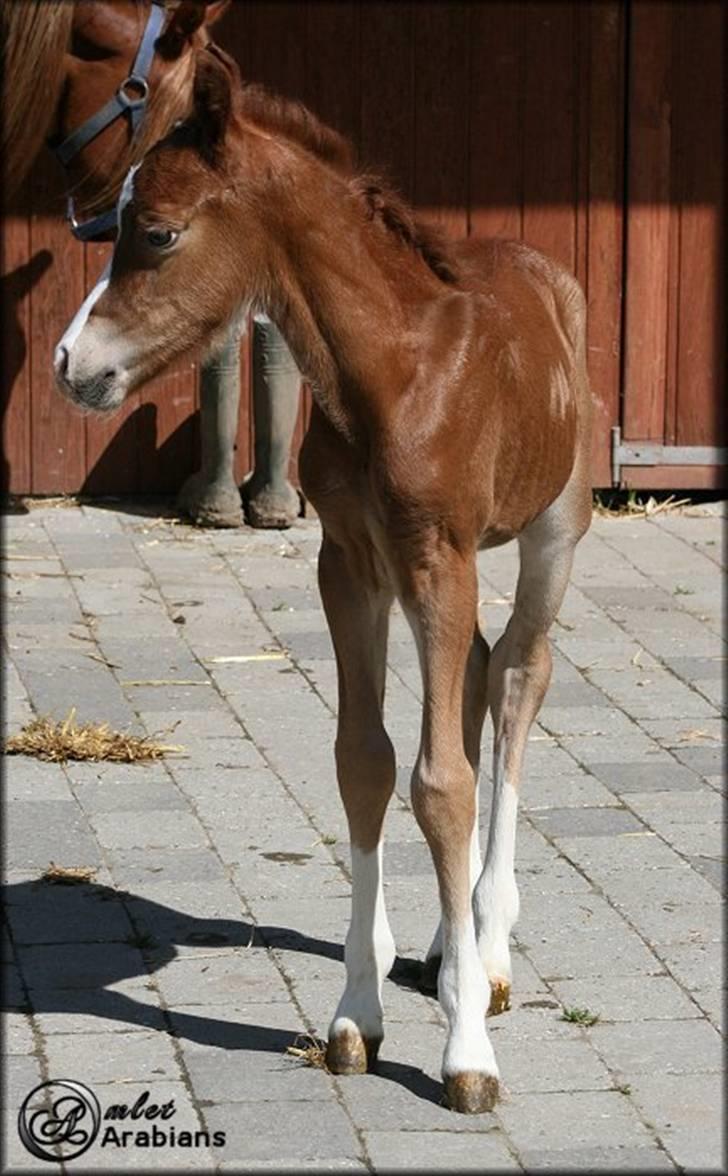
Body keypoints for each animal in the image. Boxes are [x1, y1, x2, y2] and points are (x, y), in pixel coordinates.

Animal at [54, 47, 593, 1114]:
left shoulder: (436, 557)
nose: (68, 365)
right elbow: (366, 764)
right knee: (478, 673)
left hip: (553, 528)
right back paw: (440, 944)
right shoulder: (349, 565)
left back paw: (489, 953)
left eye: (158, 232)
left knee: (518, 677)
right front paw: (357, 1014)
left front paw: (466, 1051)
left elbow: (441, 782)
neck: (396, 371)